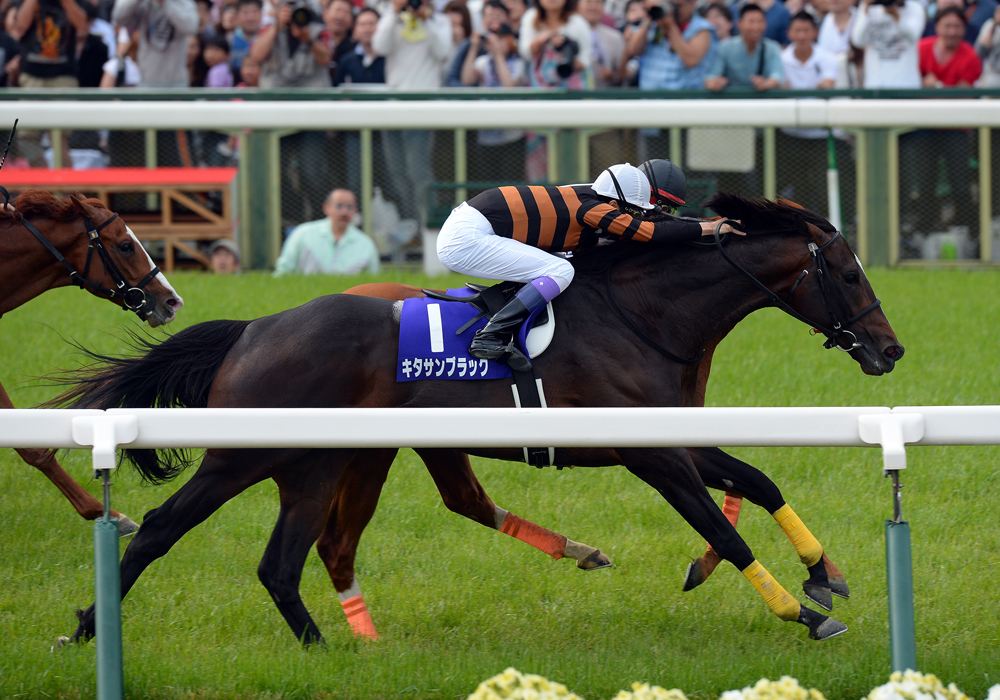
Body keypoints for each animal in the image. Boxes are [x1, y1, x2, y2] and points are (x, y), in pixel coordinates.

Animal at [58, 194, 908, 648]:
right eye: (849, 271)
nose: (891, 350)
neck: (643, 315)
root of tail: (255, 330)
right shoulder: (648, 452)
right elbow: (724, 532)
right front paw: (803, 612)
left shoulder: (672, 437)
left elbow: (759, 480)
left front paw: (825, 572)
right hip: (248, 455)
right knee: (166, 528)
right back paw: (91, 626)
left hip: (321, 462)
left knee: (290, 557)